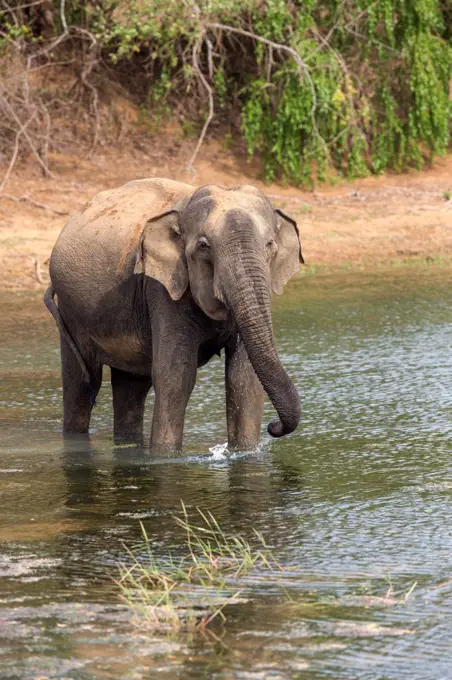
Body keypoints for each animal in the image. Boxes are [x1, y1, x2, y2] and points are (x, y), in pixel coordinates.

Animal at [45, 178, 304, 448]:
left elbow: (243, 379)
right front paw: (165, 454)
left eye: (270, 245)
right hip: (71, 312)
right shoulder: (162, 289)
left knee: (131, 387)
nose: (274, 427)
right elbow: (175, 376)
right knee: (80, 388)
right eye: (203, 246)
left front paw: (245, 452)